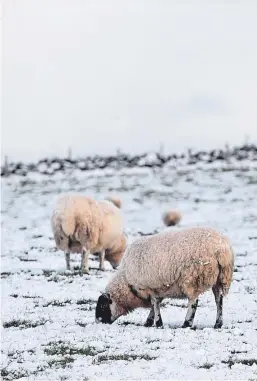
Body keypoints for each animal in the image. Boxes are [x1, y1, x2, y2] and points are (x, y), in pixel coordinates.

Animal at [95, 227, 233, 328]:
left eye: (103, 306)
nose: (98, 322)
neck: (127, 281)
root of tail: (222, 250)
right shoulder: (157, 289)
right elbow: (154, 305)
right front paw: (150, 321)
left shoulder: (149, 286)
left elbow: (155, 304)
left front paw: (157, 323)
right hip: (219, 279)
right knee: (219, 300)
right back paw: (218, 323)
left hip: (193, 278)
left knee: (193, 302)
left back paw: (186, 323)